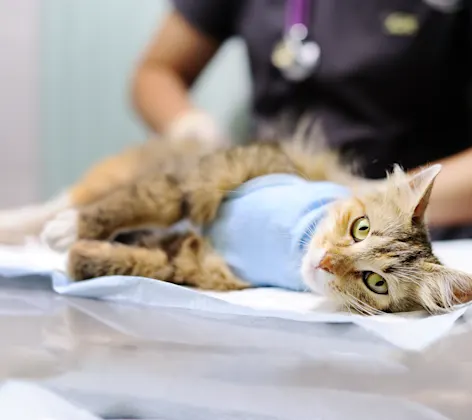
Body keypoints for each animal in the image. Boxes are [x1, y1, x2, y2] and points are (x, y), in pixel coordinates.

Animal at [38, 138, 472, 316]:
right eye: (361, 229)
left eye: (376, 282)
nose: (325, 261)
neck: (291, 241)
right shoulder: (205, 181)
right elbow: (135, 203)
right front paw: (69, 229)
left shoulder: (198, 264)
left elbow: (137, 263)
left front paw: (80, 256)